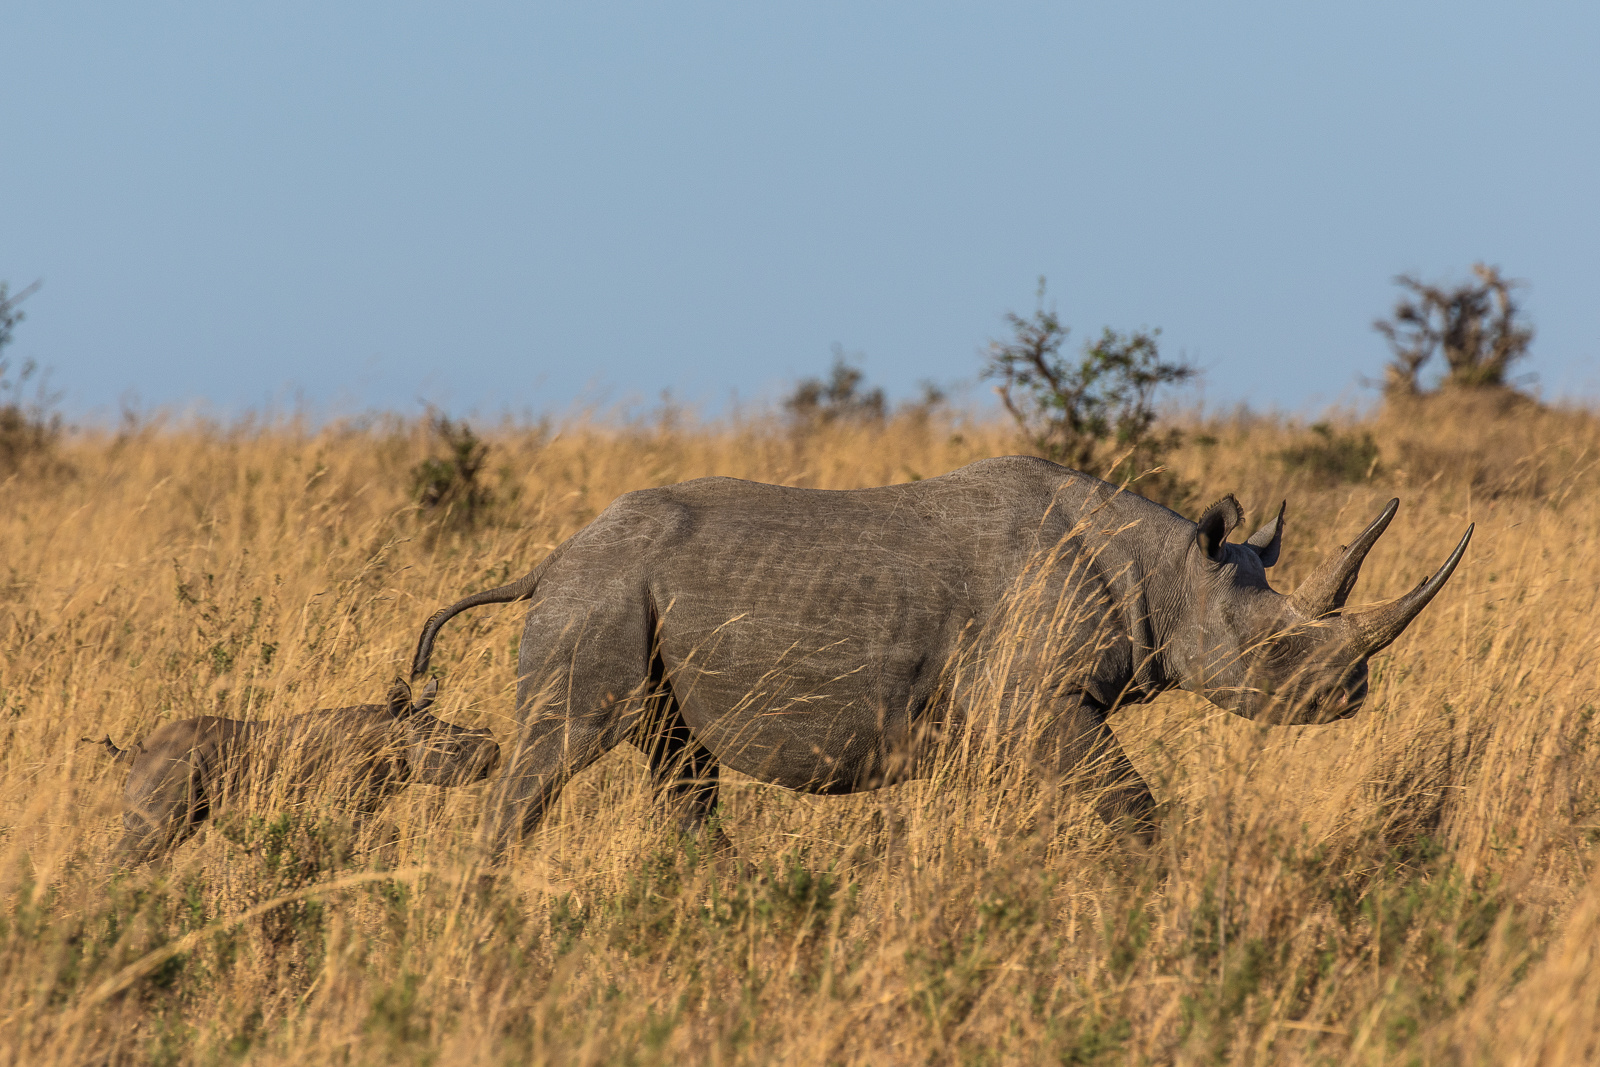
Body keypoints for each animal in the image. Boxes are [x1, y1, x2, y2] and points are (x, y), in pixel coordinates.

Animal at [84, 681, 496, 863]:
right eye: (453, 749)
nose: (494, 750)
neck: (391, 732)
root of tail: (136, 750)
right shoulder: (343, 805)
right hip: (168, 766)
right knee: (145, 841)